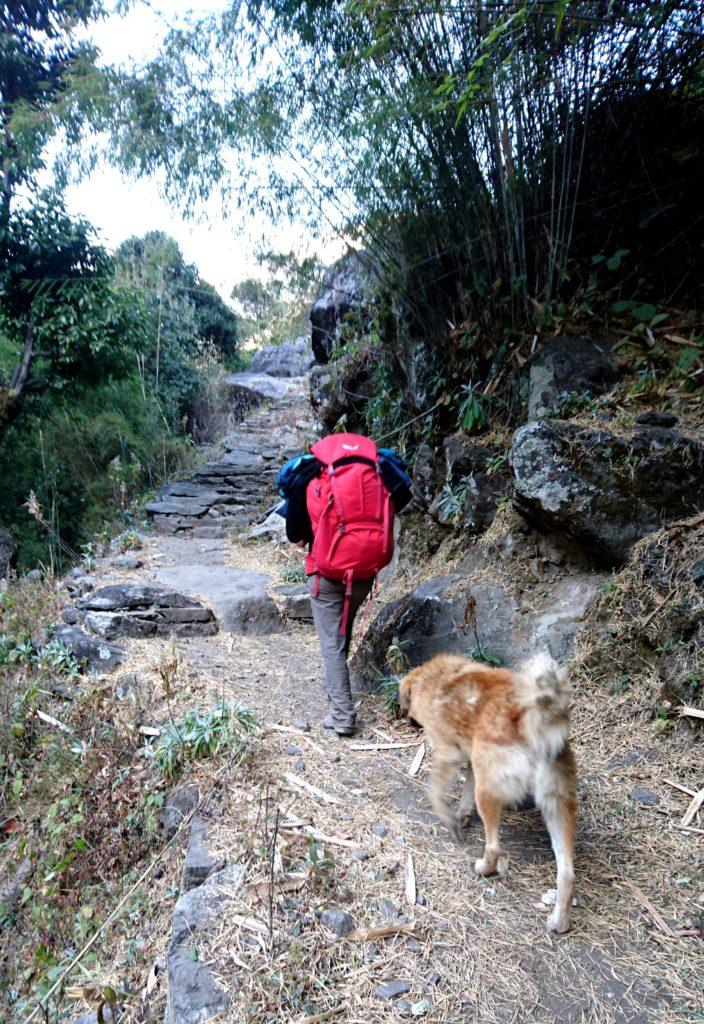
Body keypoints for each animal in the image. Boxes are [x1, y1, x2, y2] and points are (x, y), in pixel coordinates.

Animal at [399, 651, 573, 933]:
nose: (408, 721)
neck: (435, 679)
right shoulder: (471, 761)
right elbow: (465, 795)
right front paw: (462, 815)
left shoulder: (449, 754)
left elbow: (435, 793)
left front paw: (449, 820)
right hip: (558, 810)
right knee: (567, 873)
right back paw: (560, 921)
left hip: (488, 794)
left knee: (494, 848)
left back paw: (483, 868)